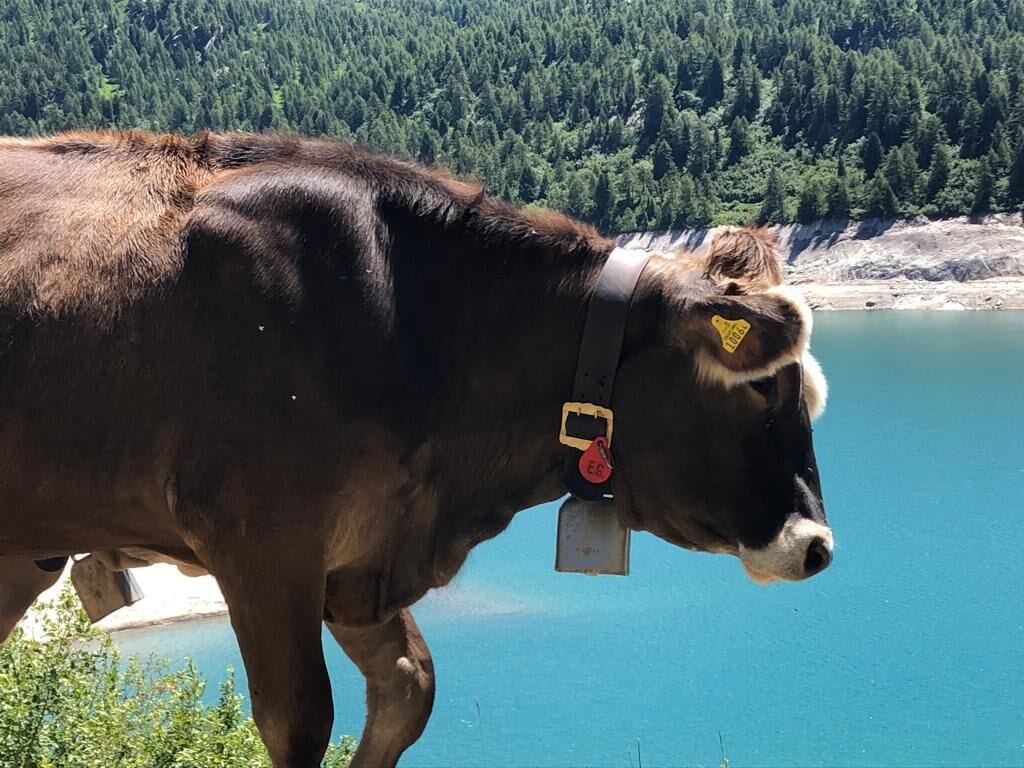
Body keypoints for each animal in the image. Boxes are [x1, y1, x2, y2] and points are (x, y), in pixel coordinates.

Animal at [0, 131, 832, 768]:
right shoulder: (261, 543)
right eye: (763, 388)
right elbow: (300, 721)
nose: (817, 546)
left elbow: (410, 688)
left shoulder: (360, 560)